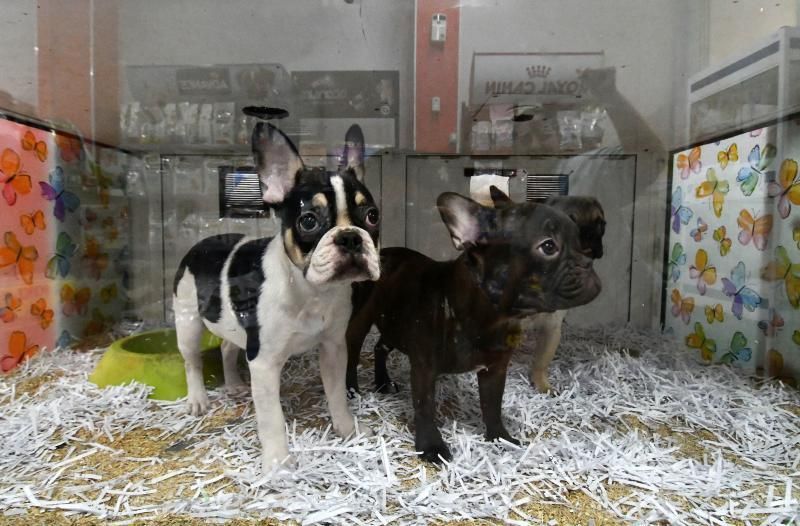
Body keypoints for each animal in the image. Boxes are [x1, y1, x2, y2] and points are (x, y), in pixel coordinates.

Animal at [171, 122, 382, 470]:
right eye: (308, 221)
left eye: (372, 216)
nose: (350, 238)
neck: (311, 291)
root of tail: (201, 244)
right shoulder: (265, 362)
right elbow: (272, 419)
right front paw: (278, 464)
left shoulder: (333, 348)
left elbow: (337, 394)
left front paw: (347, 429)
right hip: (187, 322)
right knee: (192, 362)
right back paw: (198, 399)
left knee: (228, 348)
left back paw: (233, 384)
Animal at [344, 192, 600, 464]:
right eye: (549, 247)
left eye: (580, 242)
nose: (588, 262)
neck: (487, 316)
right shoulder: (424, 368)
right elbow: (425, 407)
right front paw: (431, 446)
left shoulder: (495, 369)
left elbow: (492, 405)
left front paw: (500, 437)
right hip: (363, 319)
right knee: (353, 352)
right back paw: (352, 389)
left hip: (395, 326)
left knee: (381, 346)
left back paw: (383, 381)